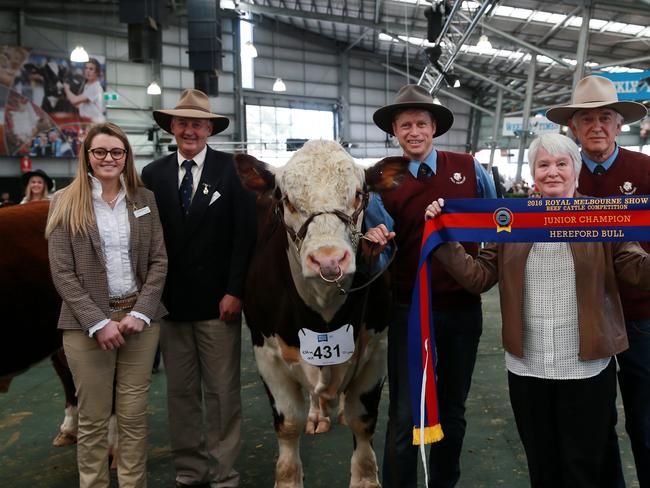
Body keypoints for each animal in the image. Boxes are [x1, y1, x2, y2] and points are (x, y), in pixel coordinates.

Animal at [233, 138, 404, 488]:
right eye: (285, 199)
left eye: (359, 194)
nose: (328, 260)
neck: (325, 314)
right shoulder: (266, 354)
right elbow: (288, 424)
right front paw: (288, 479)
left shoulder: (377, 347)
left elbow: (363, 419)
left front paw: (365, 477)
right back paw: (317, 413)